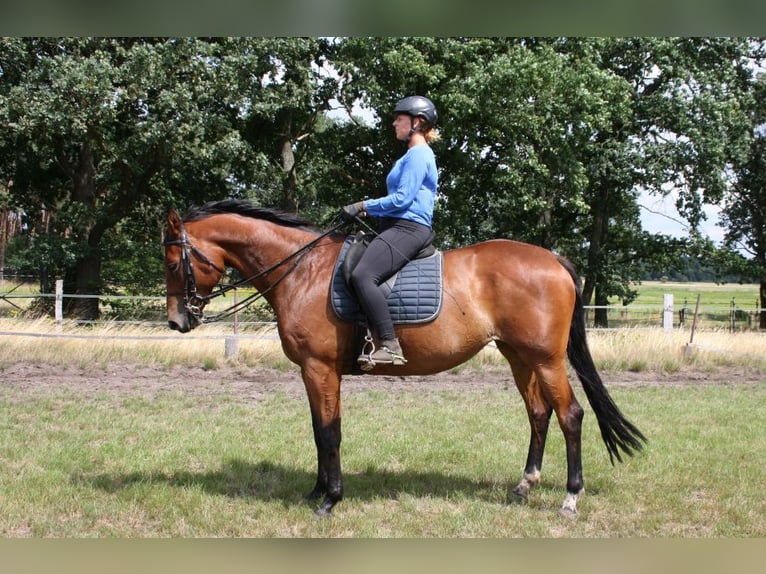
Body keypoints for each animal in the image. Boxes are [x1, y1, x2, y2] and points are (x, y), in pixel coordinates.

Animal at [164, 200, 648, 520]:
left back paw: (570, 497)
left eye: (172, 262)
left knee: (570, 415)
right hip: (519, 357)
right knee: (539, 413)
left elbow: (329, 432)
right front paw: (316, 492)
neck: (303, 270)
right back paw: (523, 486)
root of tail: (552, 258)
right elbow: (320, 431)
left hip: (546, 359)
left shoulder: (320, 368)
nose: (176, 321)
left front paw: (330, 499)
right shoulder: (313, 372)